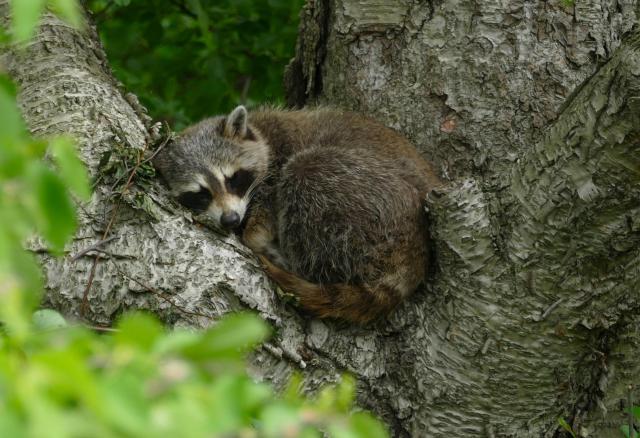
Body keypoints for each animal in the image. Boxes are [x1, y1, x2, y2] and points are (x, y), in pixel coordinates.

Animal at [153, 106, 440, 323]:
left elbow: (269, 207)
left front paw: (254, 236)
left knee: (305, 170)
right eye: (201, 194)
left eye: (232, 179)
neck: (261, 131)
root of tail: (417, 252)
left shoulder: (280, 157)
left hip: (368, 197)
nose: (231, 220)